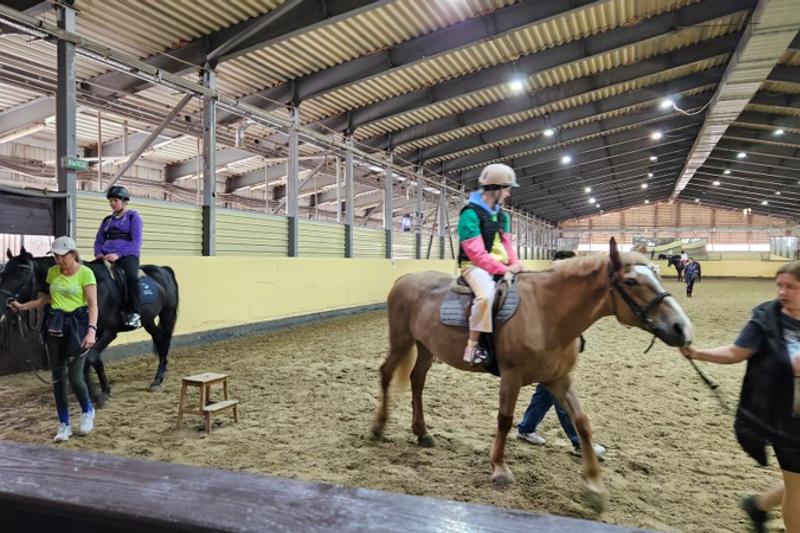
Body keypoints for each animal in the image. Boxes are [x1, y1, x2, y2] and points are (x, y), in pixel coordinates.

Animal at [0, 248, 179, 402]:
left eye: (21, 273)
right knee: (159, 340)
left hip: (167, 314)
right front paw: (101, 390)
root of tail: (163, 270)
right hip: (148, 320)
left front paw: (100, 393)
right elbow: (92, 361)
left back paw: (157, 381)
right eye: (4, 272)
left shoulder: (109, 332)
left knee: (164, 344)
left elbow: (91, 359)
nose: (4, 302)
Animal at [371, 238, 693, 510]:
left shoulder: (558, 379)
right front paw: (500, 468)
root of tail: (403, 279)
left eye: (656, 276)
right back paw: (378, 426)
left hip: (425, 347)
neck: (546, 313)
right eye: (631, 281)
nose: (682, 328)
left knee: (417, 380)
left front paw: (594, 485)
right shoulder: (511, 377)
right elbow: (504, 420)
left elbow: (581, 422)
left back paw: (422, 433)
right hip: (402, 341)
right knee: (387, 373)